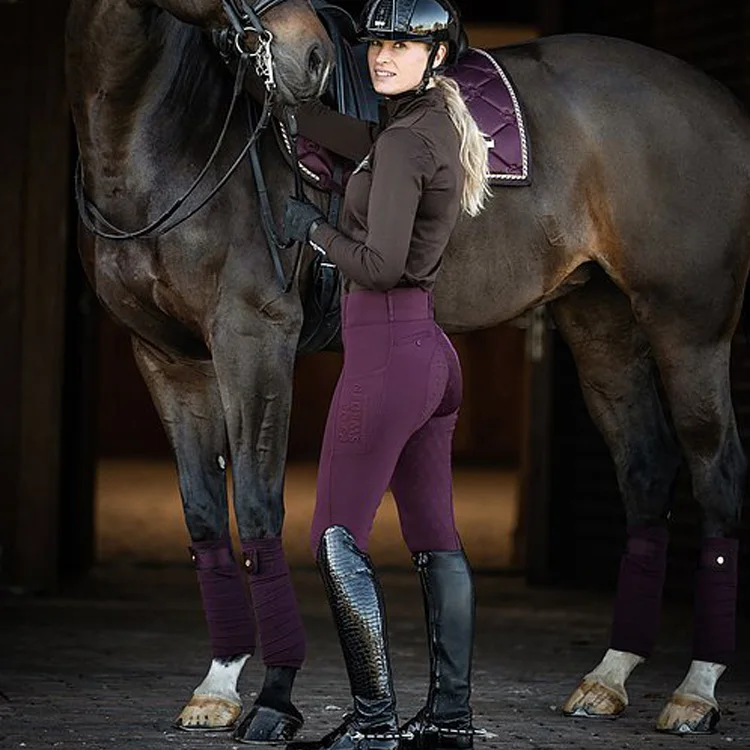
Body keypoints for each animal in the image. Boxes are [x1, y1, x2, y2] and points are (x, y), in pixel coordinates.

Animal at [66, 0, 750, 740]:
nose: (307, 57)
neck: (156, 139)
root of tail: (724, 106)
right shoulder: (168, 360)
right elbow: (203, 517)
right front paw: (216, 686)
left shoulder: (253, 336)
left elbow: (255, 506)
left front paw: (273, 700)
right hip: (601, 323)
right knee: (647, 471)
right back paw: (609, 677)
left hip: (689, 328)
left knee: (717, 475)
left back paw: (696, 691)